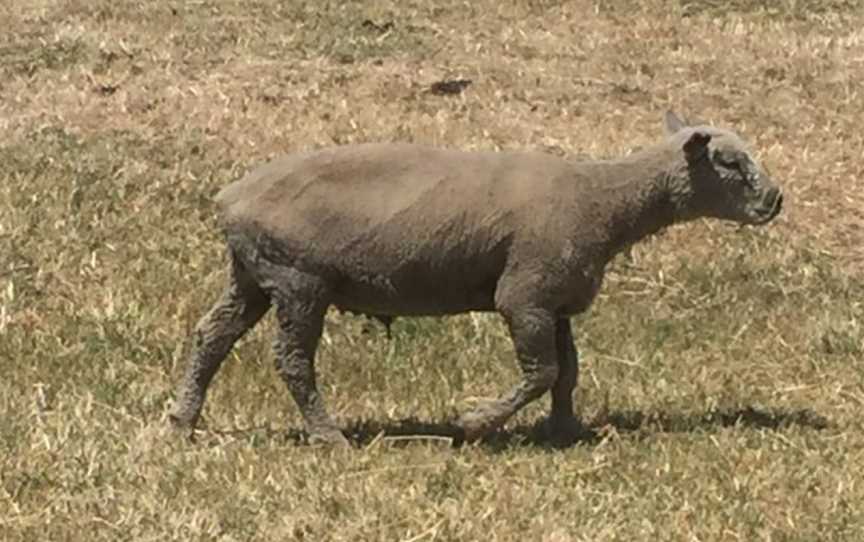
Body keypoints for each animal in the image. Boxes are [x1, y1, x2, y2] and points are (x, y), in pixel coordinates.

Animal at [167, 110, 784, 446]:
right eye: (730, 163)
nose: (775, 200)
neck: (606, 203)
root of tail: (229, 201)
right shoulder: (525, 293)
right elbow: (542, 371)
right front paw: (473, 423)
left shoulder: (556, 299)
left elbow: (567, 373)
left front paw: (566, 430)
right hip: (299, 279)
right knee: (292, 361)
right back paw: (329, 435)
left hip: (253, 274)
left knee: (211, 336)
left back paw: (181, 422)